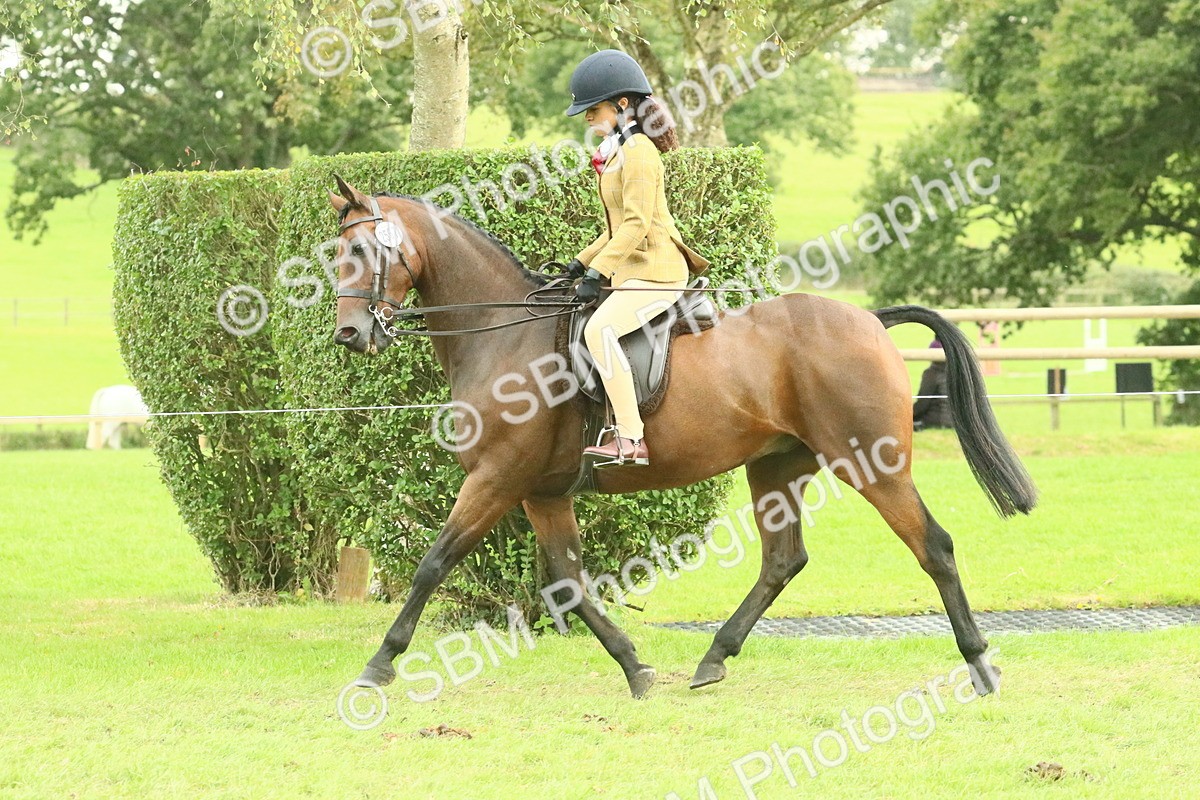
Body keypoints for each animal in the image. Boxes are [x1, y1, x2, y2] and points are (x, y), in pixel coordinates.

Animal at [327, 175, 1037, 699]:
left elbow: (433, 562)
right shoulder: (541, 491)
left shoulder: (497, 477)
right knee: (783, 560)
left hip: (872, 464)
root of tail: (868, 319)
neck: (504, 333)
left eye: (360, 254)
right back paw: (714, 657)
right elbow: (568, 583)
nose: (349, 335)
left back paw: (980, 665)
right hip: (778, 466)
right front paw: (635, 667)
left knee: (933, 546)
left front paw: (378, 665)